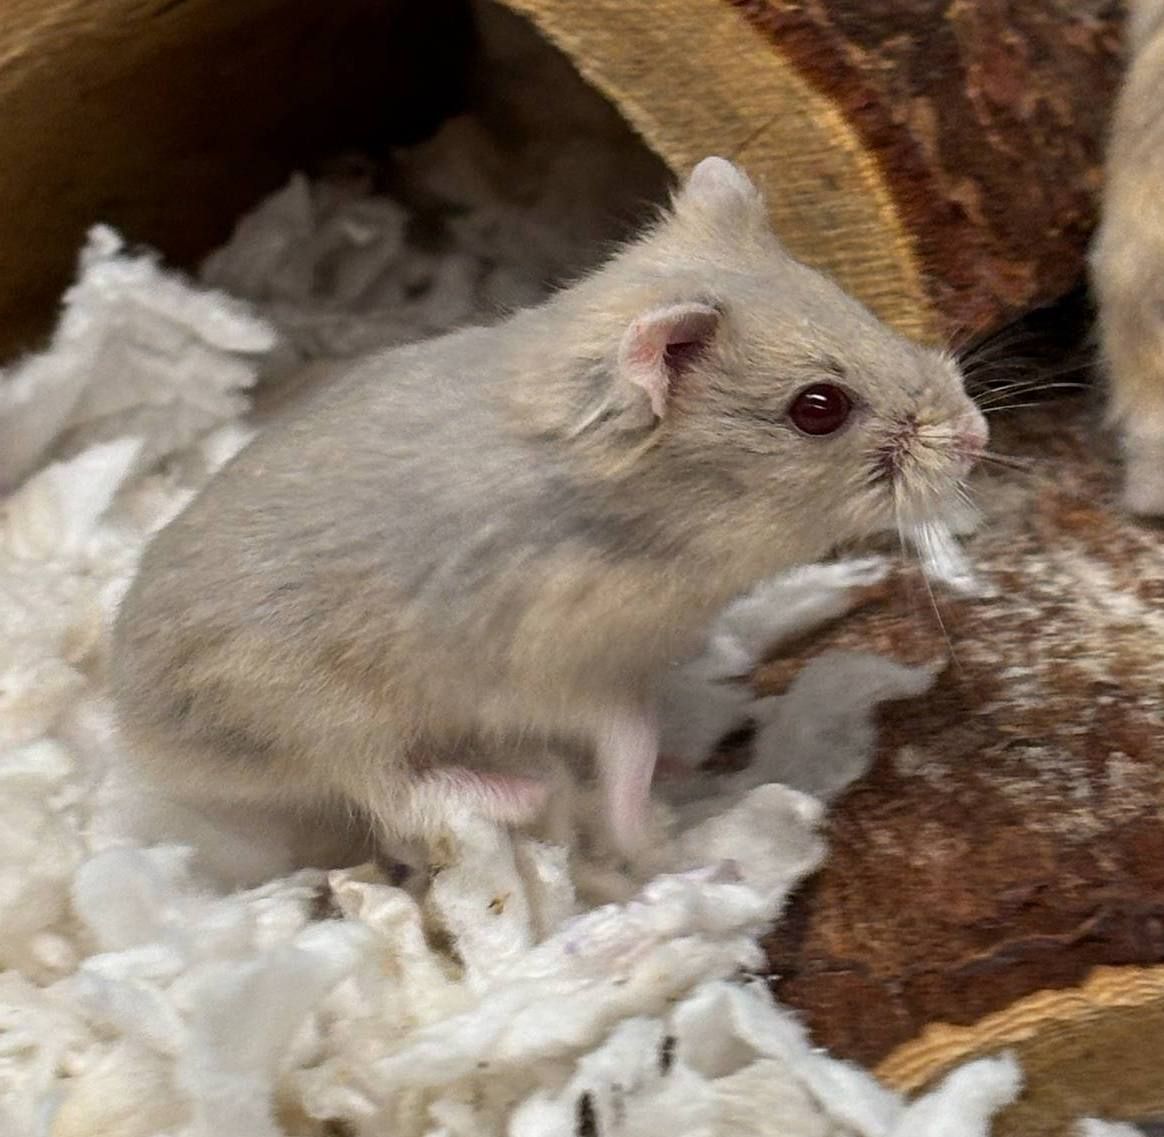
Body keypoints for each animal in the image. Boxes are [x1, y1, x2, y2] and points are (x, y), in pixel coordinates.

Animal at [109, 158, 986, 872]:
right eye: (818, 409)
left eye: (851, 300)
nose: (978, 434)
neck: (651, 519)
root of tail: (132, 729)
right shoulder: (557, 674)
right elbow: (629, 738)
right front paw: (665, 844)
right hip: (320, 719)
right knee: (396, 793)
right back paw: (521, 794)